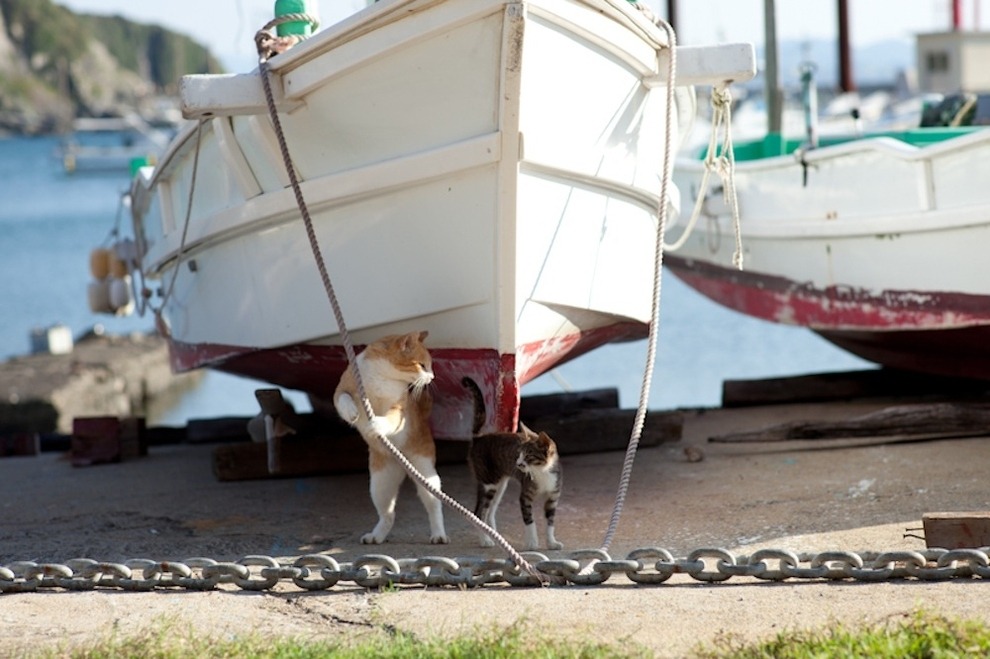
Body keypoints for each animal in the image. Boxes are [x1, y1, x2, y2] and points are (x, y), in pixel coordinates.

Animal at [334, 332, 450, 544]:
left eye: (430, 366)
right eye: (422, 365)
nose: (432, 377)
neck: (382, 376)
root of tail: (402, 466)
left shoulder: (398, 408)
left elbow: (389, 419)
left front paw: (377, 425)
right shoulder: (341, 389)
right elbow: (344, 399)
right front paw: (352, 412)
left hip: (426, 475)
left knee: (434, 508)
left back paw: (438, 534)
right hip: (379, 486)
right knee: (388, 515)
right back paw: (376, 536)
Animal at [462, 376, 560, 552]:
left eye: (528, 455)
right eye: (519, 453)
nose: (518, 463)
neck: (542, 472)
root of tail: (479, 438)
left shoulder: (552, 497)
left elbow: (550, 523)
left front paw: (551, 542)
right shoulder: (525, 497)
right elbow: (530, 521)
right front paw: (532, 543)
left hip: (500, 485)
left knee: (489, 512)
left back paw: (495, 535)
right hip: (488, 483)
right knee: (479, 512)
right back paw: (485, 540)